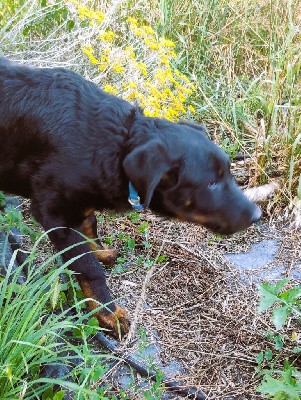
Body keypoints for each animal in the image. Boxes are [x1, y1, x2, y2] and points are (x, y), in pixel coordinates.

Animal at [0, 57, 260, 336]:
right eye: (211, 183)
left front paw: (99, 251)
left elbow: (89, 225)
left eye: (229, 172)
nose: (258, 215)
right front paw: (108, 312)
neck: (117, 145)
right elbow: (88, 267)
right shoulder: (54, 213)